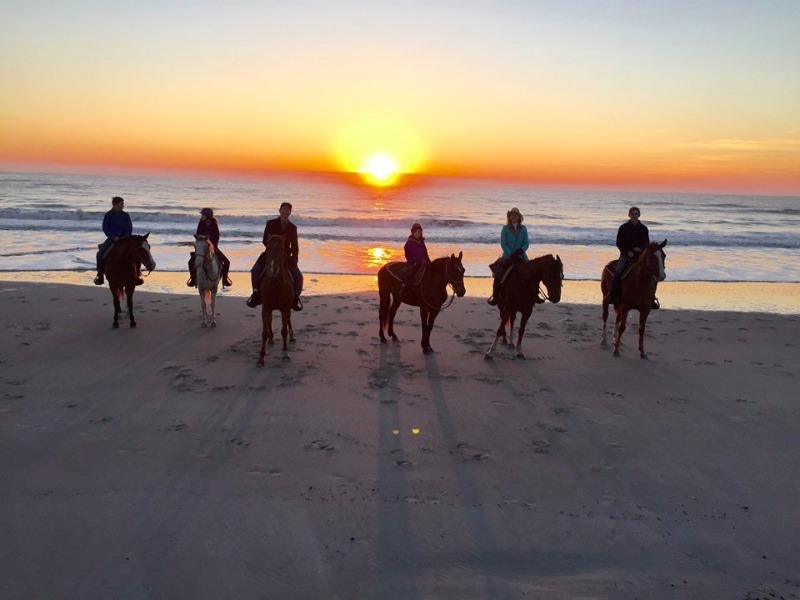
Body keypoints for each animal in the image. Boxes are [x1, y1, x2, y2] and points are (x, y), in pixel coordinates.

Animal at [258, 232, 296, 364]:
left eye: (282, 248)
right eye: (268, 248)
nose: (273, 270)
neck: (275, 284)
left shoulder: (285, 308)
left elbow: (284, 331)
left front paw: (285, 353)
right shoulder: (266, 307)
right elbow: (264, 332)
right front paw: (261, 358)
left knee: (288, 320)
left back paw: (292, 336)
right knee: (269, 321)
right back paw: (271, 339)